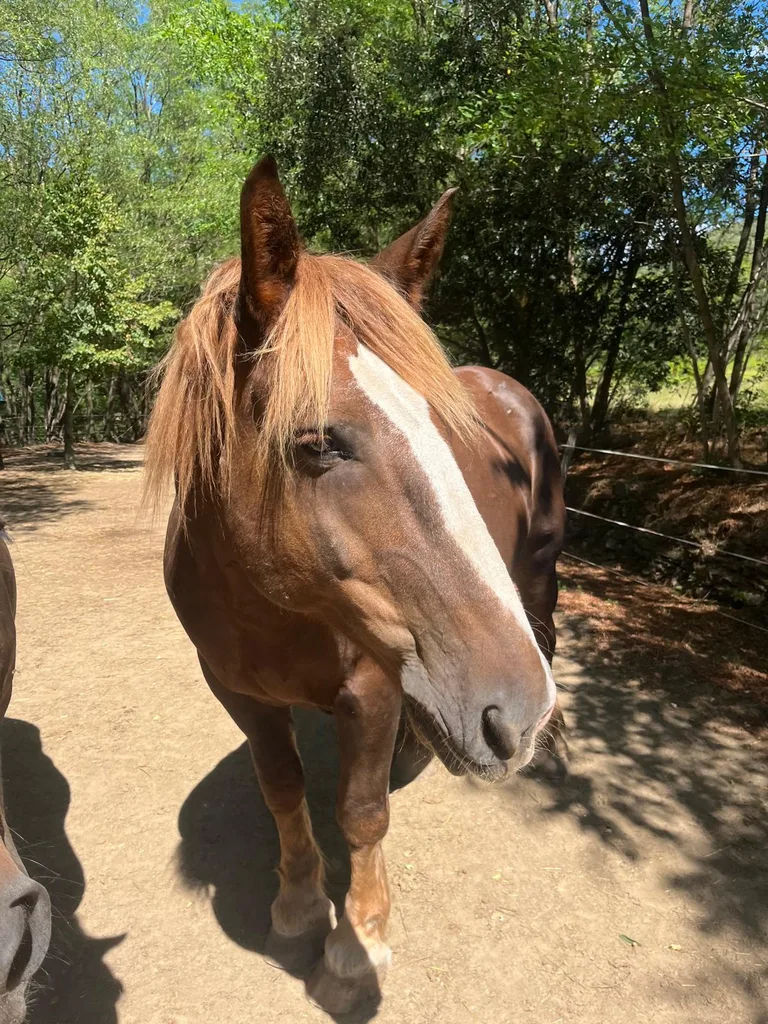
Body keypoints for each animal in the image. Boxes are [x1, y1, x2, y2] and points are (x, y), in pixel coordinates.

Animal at [145, 156, 566, 1014]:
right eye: (315, 444)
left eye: (449, 431)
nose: (515, 712)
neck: (272, 612)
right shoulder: (237, 690)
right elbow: (282, 788)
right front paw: (299, 908)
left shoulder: (370, 687)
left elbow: (362, 813)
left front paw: (355, 946)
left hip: (535, 581)